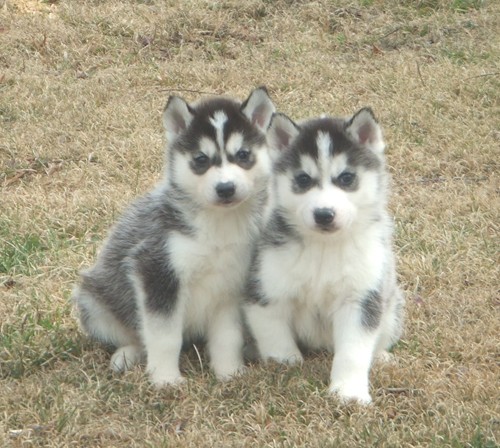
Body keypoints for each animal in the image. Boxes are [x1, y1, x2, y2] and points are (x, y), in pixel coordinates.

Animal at [73, 86, 276, 384]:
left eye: (242, 155)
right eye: (201, 160)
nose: (225, 188)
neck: (217, 226)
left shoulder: (229, 286)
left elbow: (228, 337)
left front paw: (230, 373)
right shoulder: (156, 272)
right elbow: (164, 336)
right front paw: (165, 380)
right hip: (94, 300)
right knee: (134, 334)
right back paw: (127, 355)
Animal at [244, 108, 404, 402]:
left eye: (346, 178)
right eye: (303, 179)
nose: (324, 214)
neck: (324, 247)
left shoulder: (360, 300)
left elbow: (354, 351)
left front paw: (349, 392)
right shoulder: (265, 291)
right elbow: (275, 337)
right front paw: (287, 365)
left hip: (391, 305)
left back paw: (382, 357)